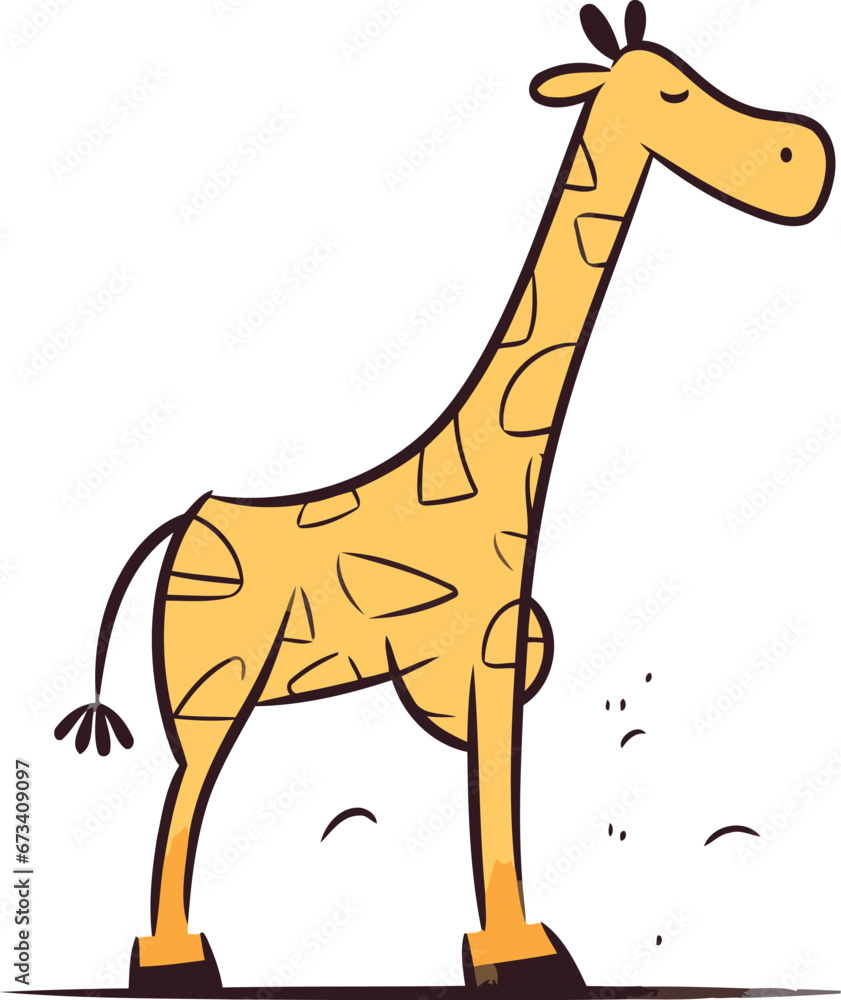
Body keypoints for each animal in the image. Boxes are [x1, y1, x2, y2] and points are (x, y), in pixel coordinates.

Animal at [57, 2, 833, 992]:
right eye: (669, 91)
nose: (804, 155)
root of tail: (182, 521)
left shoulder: (482, 659)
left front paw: (509, 950)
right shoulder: (487, 653)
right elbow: (496, 790)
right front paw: (523, 953)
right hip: (213, 680)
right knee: (181, 799)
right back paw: (173, 964)